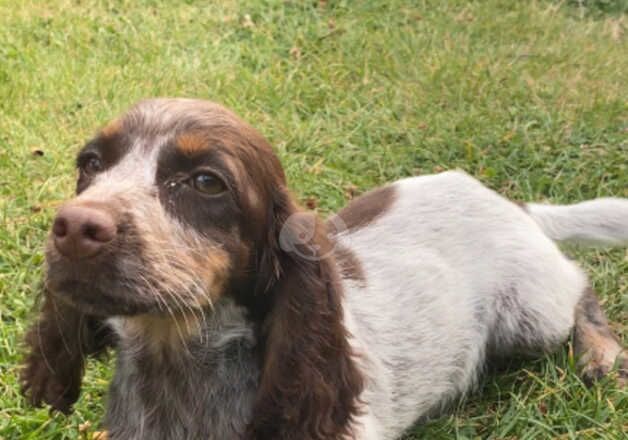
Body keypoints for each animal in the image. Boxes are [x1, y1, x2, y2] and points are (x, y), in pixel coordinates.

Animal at [20, 99, 628, 440]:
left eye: (206, 182)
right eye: (90, 164)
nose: (74, 228)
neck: (177, 365)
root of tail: (510, 204)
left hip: (530, 316)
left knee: (581, 285)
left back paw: (599, 351)